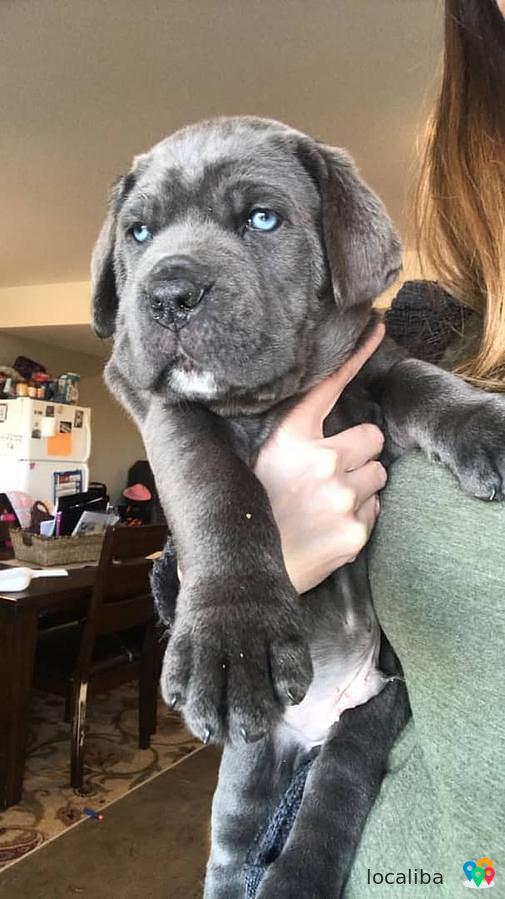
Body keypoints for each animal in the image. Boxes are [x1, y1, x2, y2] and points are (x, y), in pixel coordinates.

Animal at [92, 116, 504, 896]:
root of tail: (312, 728)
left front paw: (486, 425)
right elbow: (218, 487)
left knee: (328, 806)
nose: (168, 294)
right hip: (246, 767)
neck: (278, 394)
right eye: (138, 233)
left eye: (262, 219)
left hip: (370, 716)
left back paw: (297, 874)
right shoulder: (163, 404)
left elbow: (423, 380)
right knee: (233, 853)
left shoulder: (373, 374)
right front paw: (233, 635)